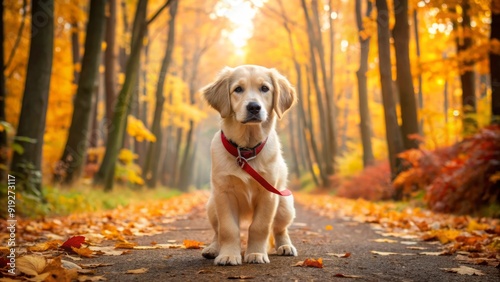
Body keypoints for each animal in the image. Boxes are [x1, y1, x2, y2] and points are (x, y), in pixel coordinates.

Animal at [201, 65, 296, 266]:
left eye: (265, 88)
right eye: (238, 89)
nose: (254, 107)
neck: (245, 151)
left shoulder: (268, 194)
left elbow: (260, 227)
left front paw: (257, 254)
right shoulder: (224, 194)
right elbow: (228, 229)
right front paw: (229, 255)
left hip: (285, 204)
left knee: (280, 229)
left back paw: (285, 246)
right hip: (212, 205)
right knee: (216, 232)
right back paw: (213, 249)